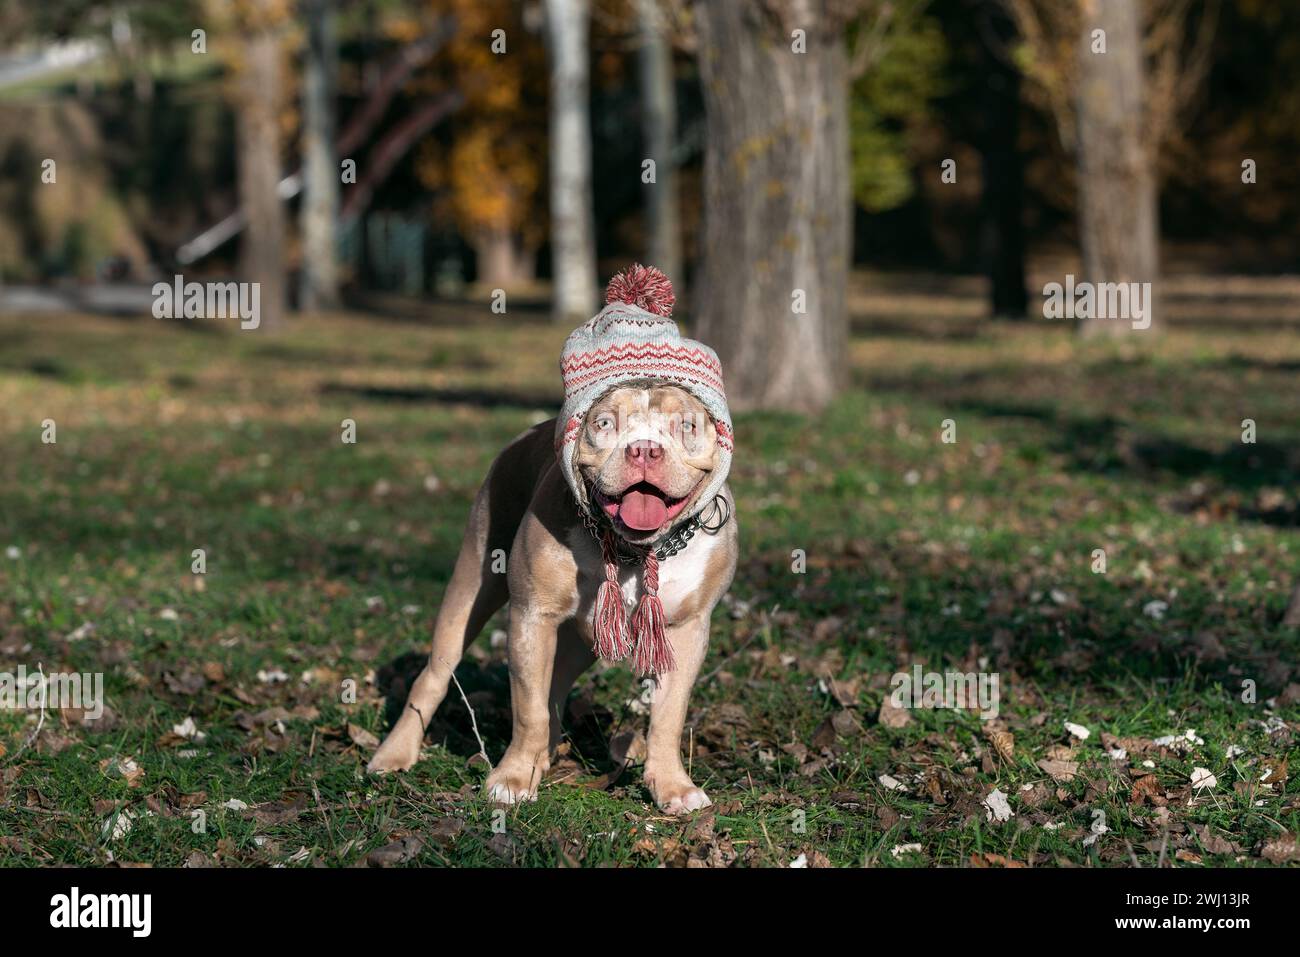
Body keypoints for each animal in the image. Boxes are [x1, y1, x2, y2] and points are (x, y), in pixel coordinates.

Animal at [371, 265, 738, 811]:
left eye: (687, 426)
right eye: (604, 423)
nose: (644, 449)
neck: (634, 551)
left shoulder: (687, 630)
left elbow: (667, 717)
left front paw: (672, 786)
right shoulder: (532, 617)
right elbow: (527, 706)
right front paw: (513, 777)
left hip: (583, 635)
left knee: (559, 683)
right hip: (473, 586)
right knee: (435, 675)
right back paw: (394, 754)